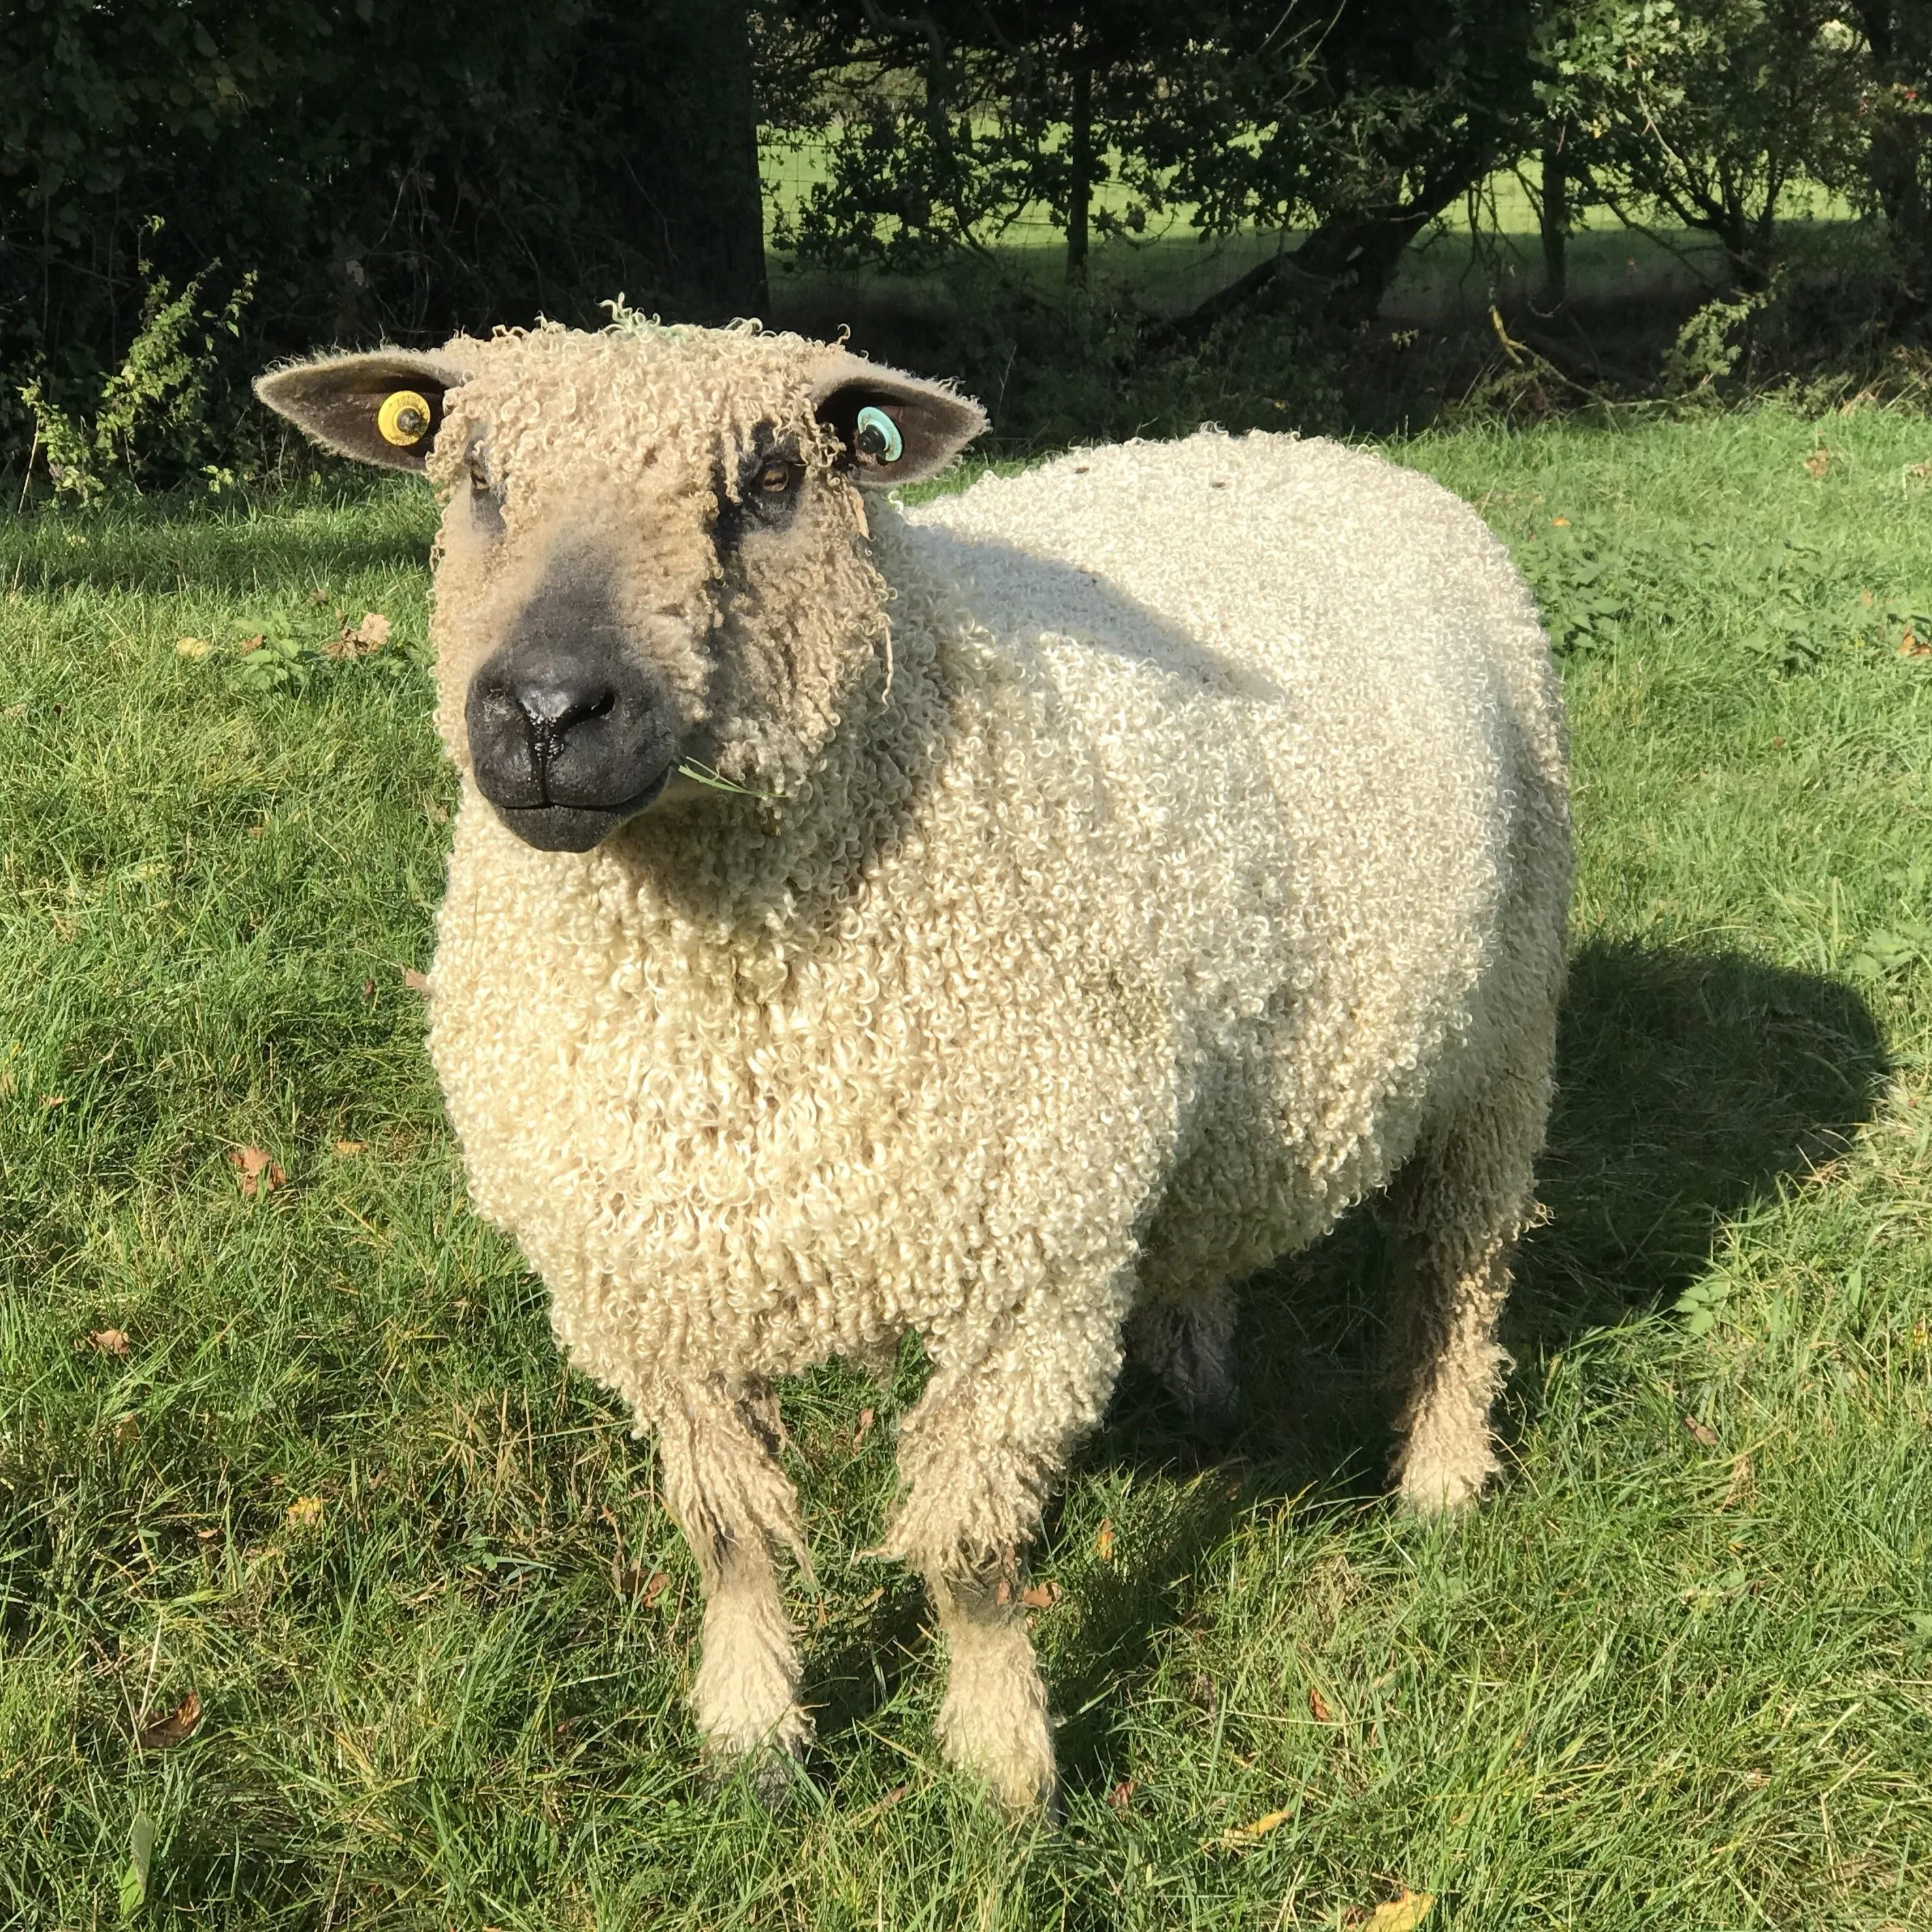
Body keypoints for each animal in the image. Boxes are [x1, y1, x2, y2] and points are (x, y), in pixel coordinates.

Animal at [257, 317, 1576, 1808]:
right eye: (470, 474)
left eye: (773, 480)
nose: (545, 711)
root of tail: (1310, 448)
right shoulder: (644, 1281)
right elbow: (727, 1533)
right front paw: (752, 1734)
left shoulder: (1029, 1272)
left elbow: (970, 1552)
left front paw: (1002, 1763)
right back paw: (1199, 1370)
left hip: (1505, 1036)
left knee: (1461, 1266)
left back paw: (1444, 1476)